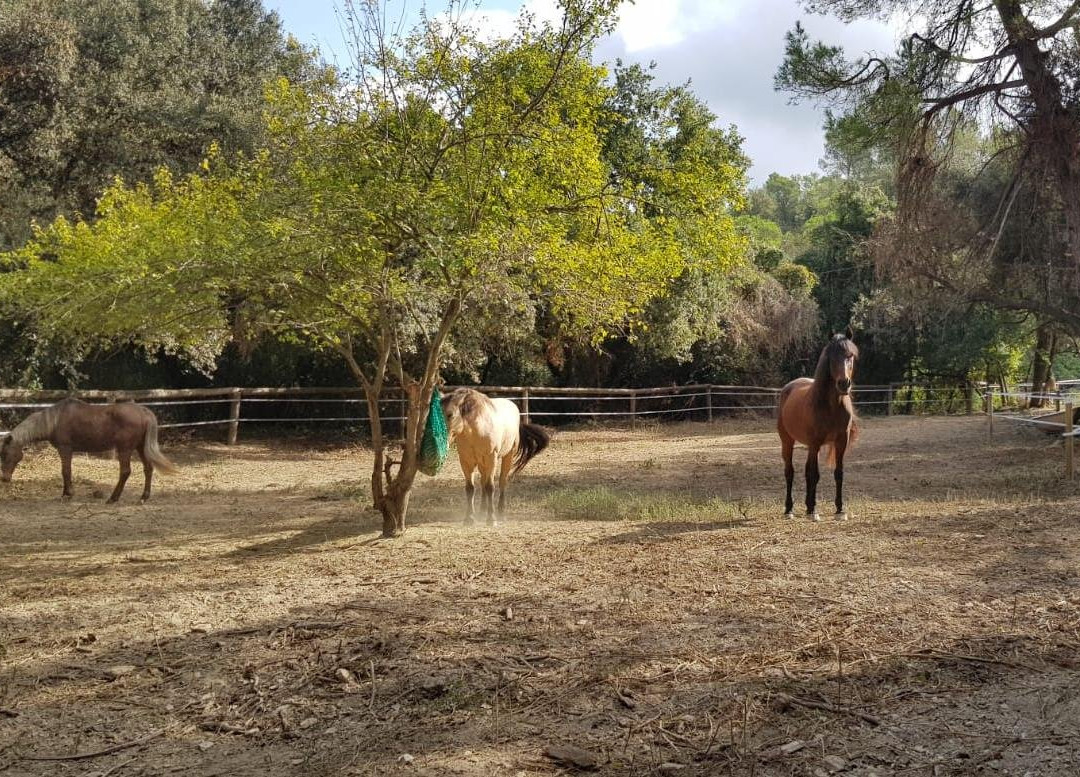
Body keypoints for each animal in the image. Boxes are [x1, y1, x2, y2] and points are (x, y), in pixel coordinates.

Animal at [0, 397, 176, 501]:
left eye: (5, 454)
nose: (5, 478)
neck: (54, 421)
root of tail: (144, 411)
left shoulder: (65, 449)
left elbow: (66, 471)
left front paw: (68, 494)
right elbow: (66, 471)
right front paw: (66, 492)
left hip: (125, 449)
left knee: (125, 472)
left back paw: (113, 498)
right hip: (140, 448)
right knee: (148, 469)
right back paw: (144, 497)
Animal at [438, 389, 548, 529]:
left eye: (450, 414)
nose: (440, 440)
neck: (476, 430)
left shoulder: (491, 459)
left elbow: (490, 487)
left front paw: (491, 519)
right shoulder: (466, 461)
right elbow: (470, 488)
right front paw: (469, 518)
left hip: (507, 456)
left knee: (502, 482)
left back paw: (501, 513)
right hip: (482, 463)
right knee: (483, 482)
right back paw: (482, 510)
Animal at [777, 330, 859, 523]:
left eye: (850, 355)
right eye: (831, 357)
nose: (843, 384)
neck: (831, 406)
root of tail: (789, 387)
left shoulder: (841, 442)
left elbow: (838, 473)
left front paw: (840, 510)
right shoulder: (815, 443)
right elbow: (814, 474)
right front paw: (814, 510)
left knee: (807, 471)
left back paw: (807, 506)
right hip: (787, 441)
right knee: (790, 472)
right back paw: (789, 509)